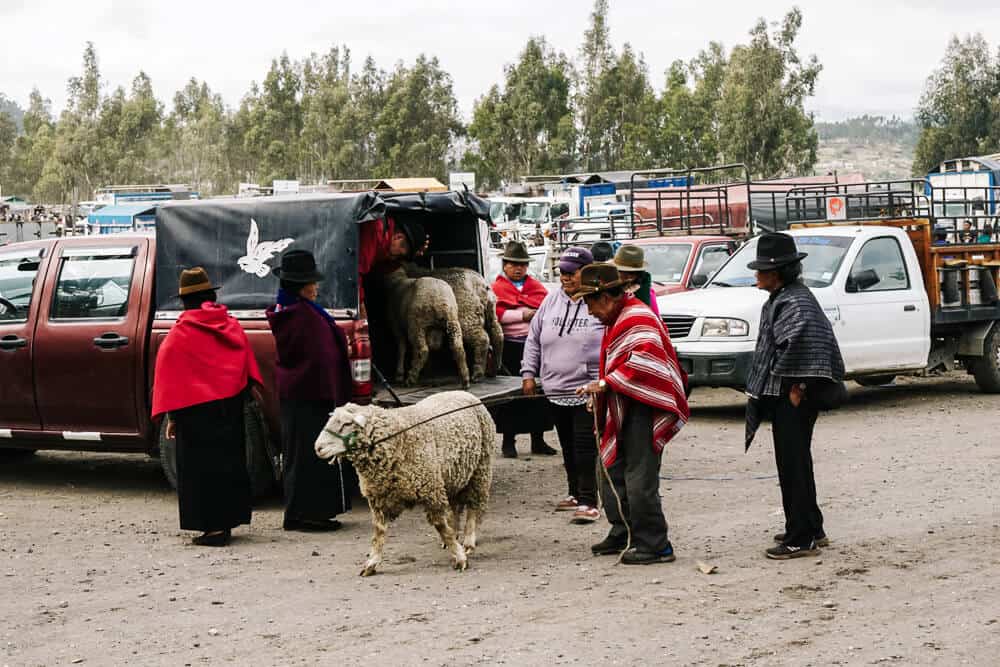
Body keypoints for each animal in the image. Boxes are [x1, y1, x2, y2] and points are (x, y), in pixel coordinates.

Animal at [314, 394, 494, 576]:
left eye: (346, 424)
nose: (318, 448)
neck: (396, 440)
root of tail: (462, 393)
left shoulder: (431, 490)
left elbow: (441, 526)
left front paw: (460, 557)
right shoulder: (378, 498)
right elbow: (379, 532)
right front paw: (371, 563)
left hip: (480, 469)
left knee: (473, 507)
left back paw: (468, 541)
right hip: (453, 476)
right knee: (455, 507)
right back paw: (455, 533)